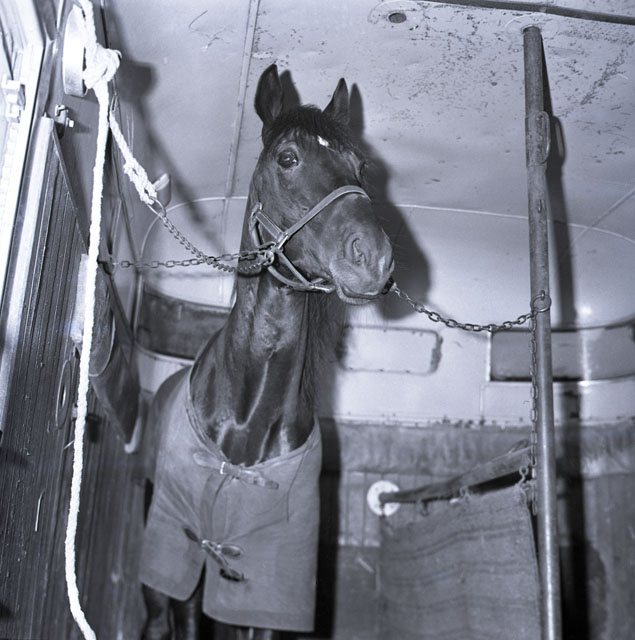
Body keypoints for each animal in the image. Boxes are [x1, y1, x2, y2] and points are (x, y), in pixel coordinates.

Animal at [139, 64, 394, 640]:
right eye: (288, 158)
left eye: (361, 166)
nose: (373, 257)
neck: (247, 421)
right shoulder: (187, 560)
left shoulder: (272, 583)